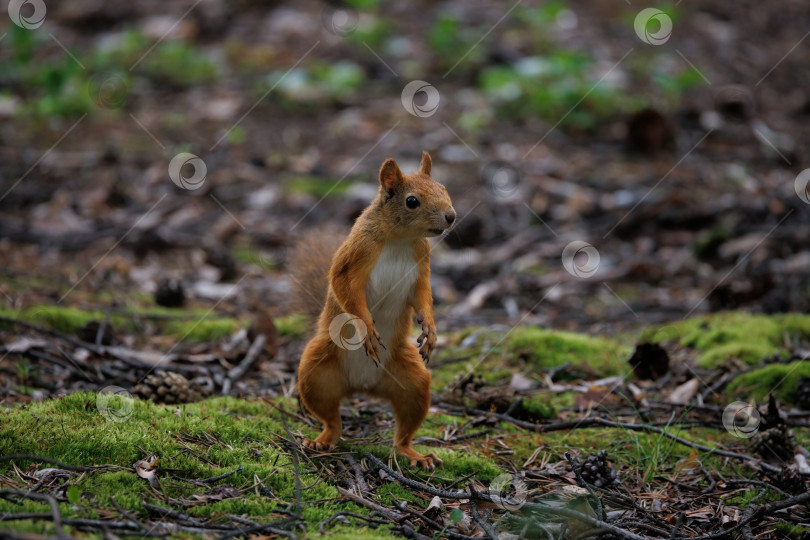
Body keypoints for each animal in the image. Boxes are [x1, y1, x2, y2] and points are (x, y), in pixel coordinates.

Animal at [296, 151, 454, 468]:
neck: (400, 239)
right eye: (412, 201)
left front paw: (431, 330)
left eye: (443, 188)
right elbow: (346, 290)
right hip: (316, 372)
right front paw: (367, 328)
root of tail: (362, 385)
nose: (451, 216)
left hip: (413, 381)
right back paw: (321, 441)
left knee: (404, 429)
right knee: (331, 419)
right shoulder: (355, 255)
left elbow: (423, 297)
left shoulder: (421, 267)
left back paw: (415, 455)